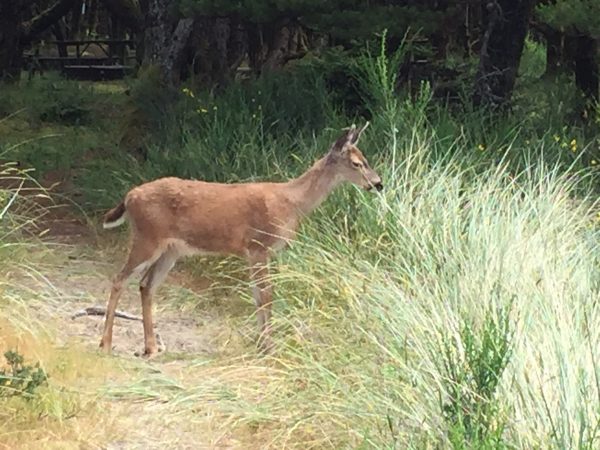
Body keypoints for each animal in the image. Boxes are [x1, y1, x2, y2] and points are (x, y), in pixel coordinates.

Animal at [98, 123, 380, 356]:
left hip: (171, 250)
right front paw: (269, 348)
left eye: (365, 159)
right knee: (119, 279)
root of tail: (129, 197)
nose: (378, 183)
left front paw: (261, 344)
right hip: (147, 238)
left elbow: (258, 296)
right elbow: (267, 295)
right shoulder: (259, 246)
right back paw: (106, 344)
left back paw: (151, 347)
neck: (291, 202)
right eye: (356, 163)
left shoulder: (254, 252)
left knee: (146, 285)